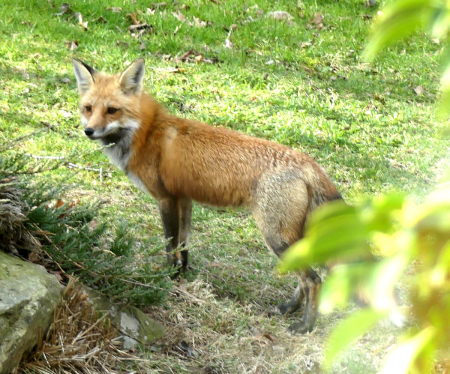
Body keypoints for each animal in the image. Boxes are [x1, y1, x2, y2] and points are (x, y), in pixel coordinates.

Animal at [72, 58, 342, 334]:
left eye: (112, 110)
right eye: (88, 108)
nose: (89, 131)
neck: (146, 133)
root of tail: (309, 163)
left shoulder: (166, 198)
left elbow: (170, 244)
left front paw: (167, 277)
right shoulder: (184, 198)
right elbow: (184, 245)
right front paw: (182, 275)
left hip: (276, 237)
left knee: (314, 280)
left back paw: (305, 325)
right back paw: (290, 308)